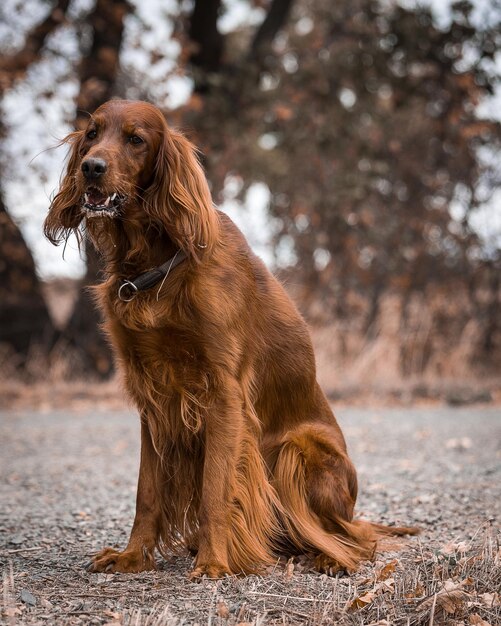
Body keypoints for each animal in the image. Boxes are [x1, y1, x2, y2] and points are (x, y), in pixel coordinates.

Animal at [43, 98, 416, 576]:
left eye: (135, 139)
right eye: (92, 133)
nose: (92, 167)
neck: (160, 264)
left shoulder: (223, 393)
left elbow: (215, 488)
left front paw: (214, 563)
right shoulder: (153, 399)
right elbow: (147, 492)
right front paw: (133, 556)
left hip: (299, 449)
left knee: (354, 535)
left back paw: (327, 555)